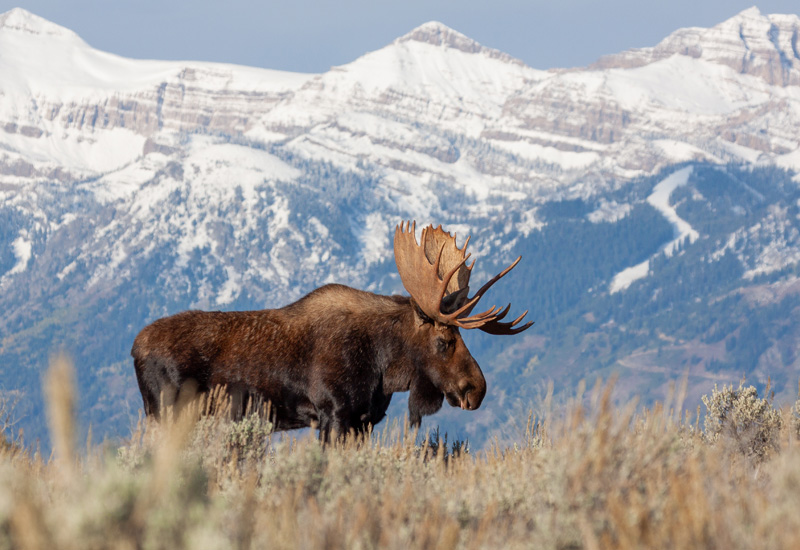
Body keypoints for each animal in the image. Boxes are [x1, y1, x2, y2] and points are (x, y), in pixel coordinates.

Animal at [131, 221, 532, 439]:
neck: (384, 368)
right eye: (444, 340)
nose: (476, 389)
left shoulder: (365, 421)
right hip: (166, 414)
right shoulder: (335, 414)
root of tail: (134, 347)